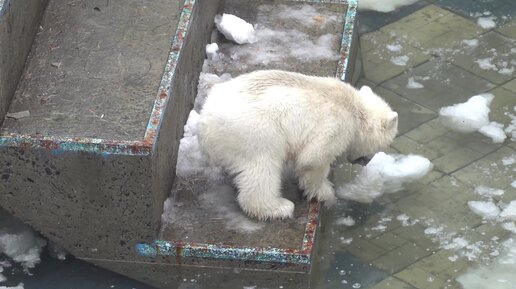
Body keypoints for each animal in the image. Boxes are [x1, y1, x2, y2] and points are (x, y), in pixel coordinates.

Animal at [198, 71, 400, 219]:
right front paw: (326, 193)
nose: (365, 162)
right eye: (379, 148)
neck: (355, 108)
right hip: (256, 131)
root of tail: (207, 116)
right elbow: (313, 159)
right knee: (262, 168)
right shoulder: (336, 126)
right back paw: (279, 207)